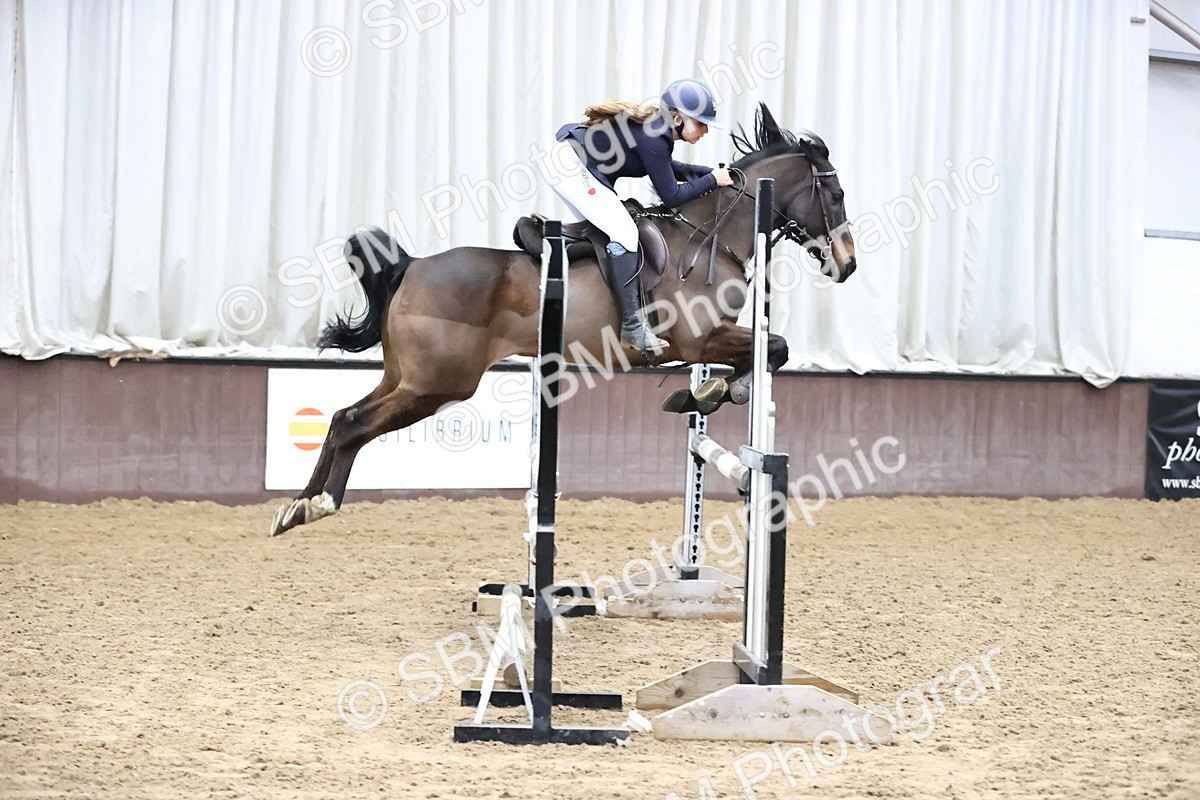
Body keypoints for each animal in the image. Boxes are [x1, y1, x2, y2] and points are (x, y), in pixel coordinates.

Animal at [270, 103, 856, 536]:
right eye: (836, 193)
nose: (847, 264)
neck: (711, 235)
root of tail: (411, 265)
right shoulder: (701, 340)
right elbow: (774, 348)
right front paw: (713, 393)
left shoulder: (711, 341)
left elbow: (767, 353)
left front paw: (703, 394)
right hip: (437, 385)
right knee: (354, 422)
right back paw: (316, 505)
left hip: (405, 377)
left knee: (340, 416)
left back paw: (299, 506)